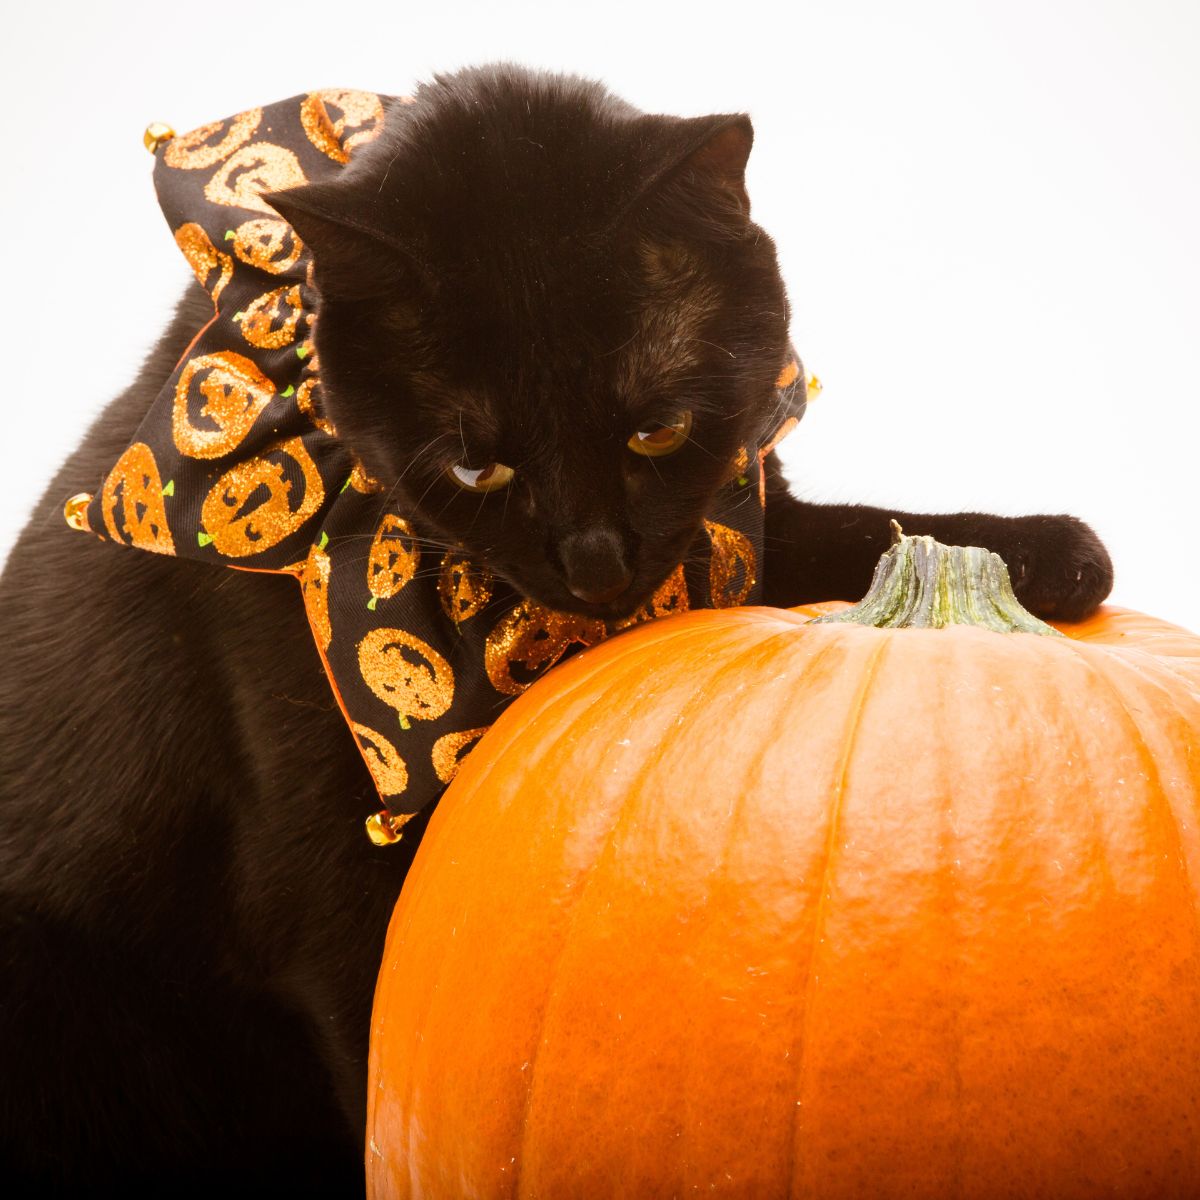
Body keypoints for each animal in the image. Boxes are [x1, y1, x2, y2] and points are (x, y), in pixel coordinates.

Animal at [0, 63, 1108, 1190]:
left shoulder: (738, 529)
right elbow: (374, 1065)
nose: (597, 560)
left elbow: (863, 535)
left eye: (655, 428)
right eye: (473, 462)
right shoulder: (326, 884)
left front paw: (1040, 557)